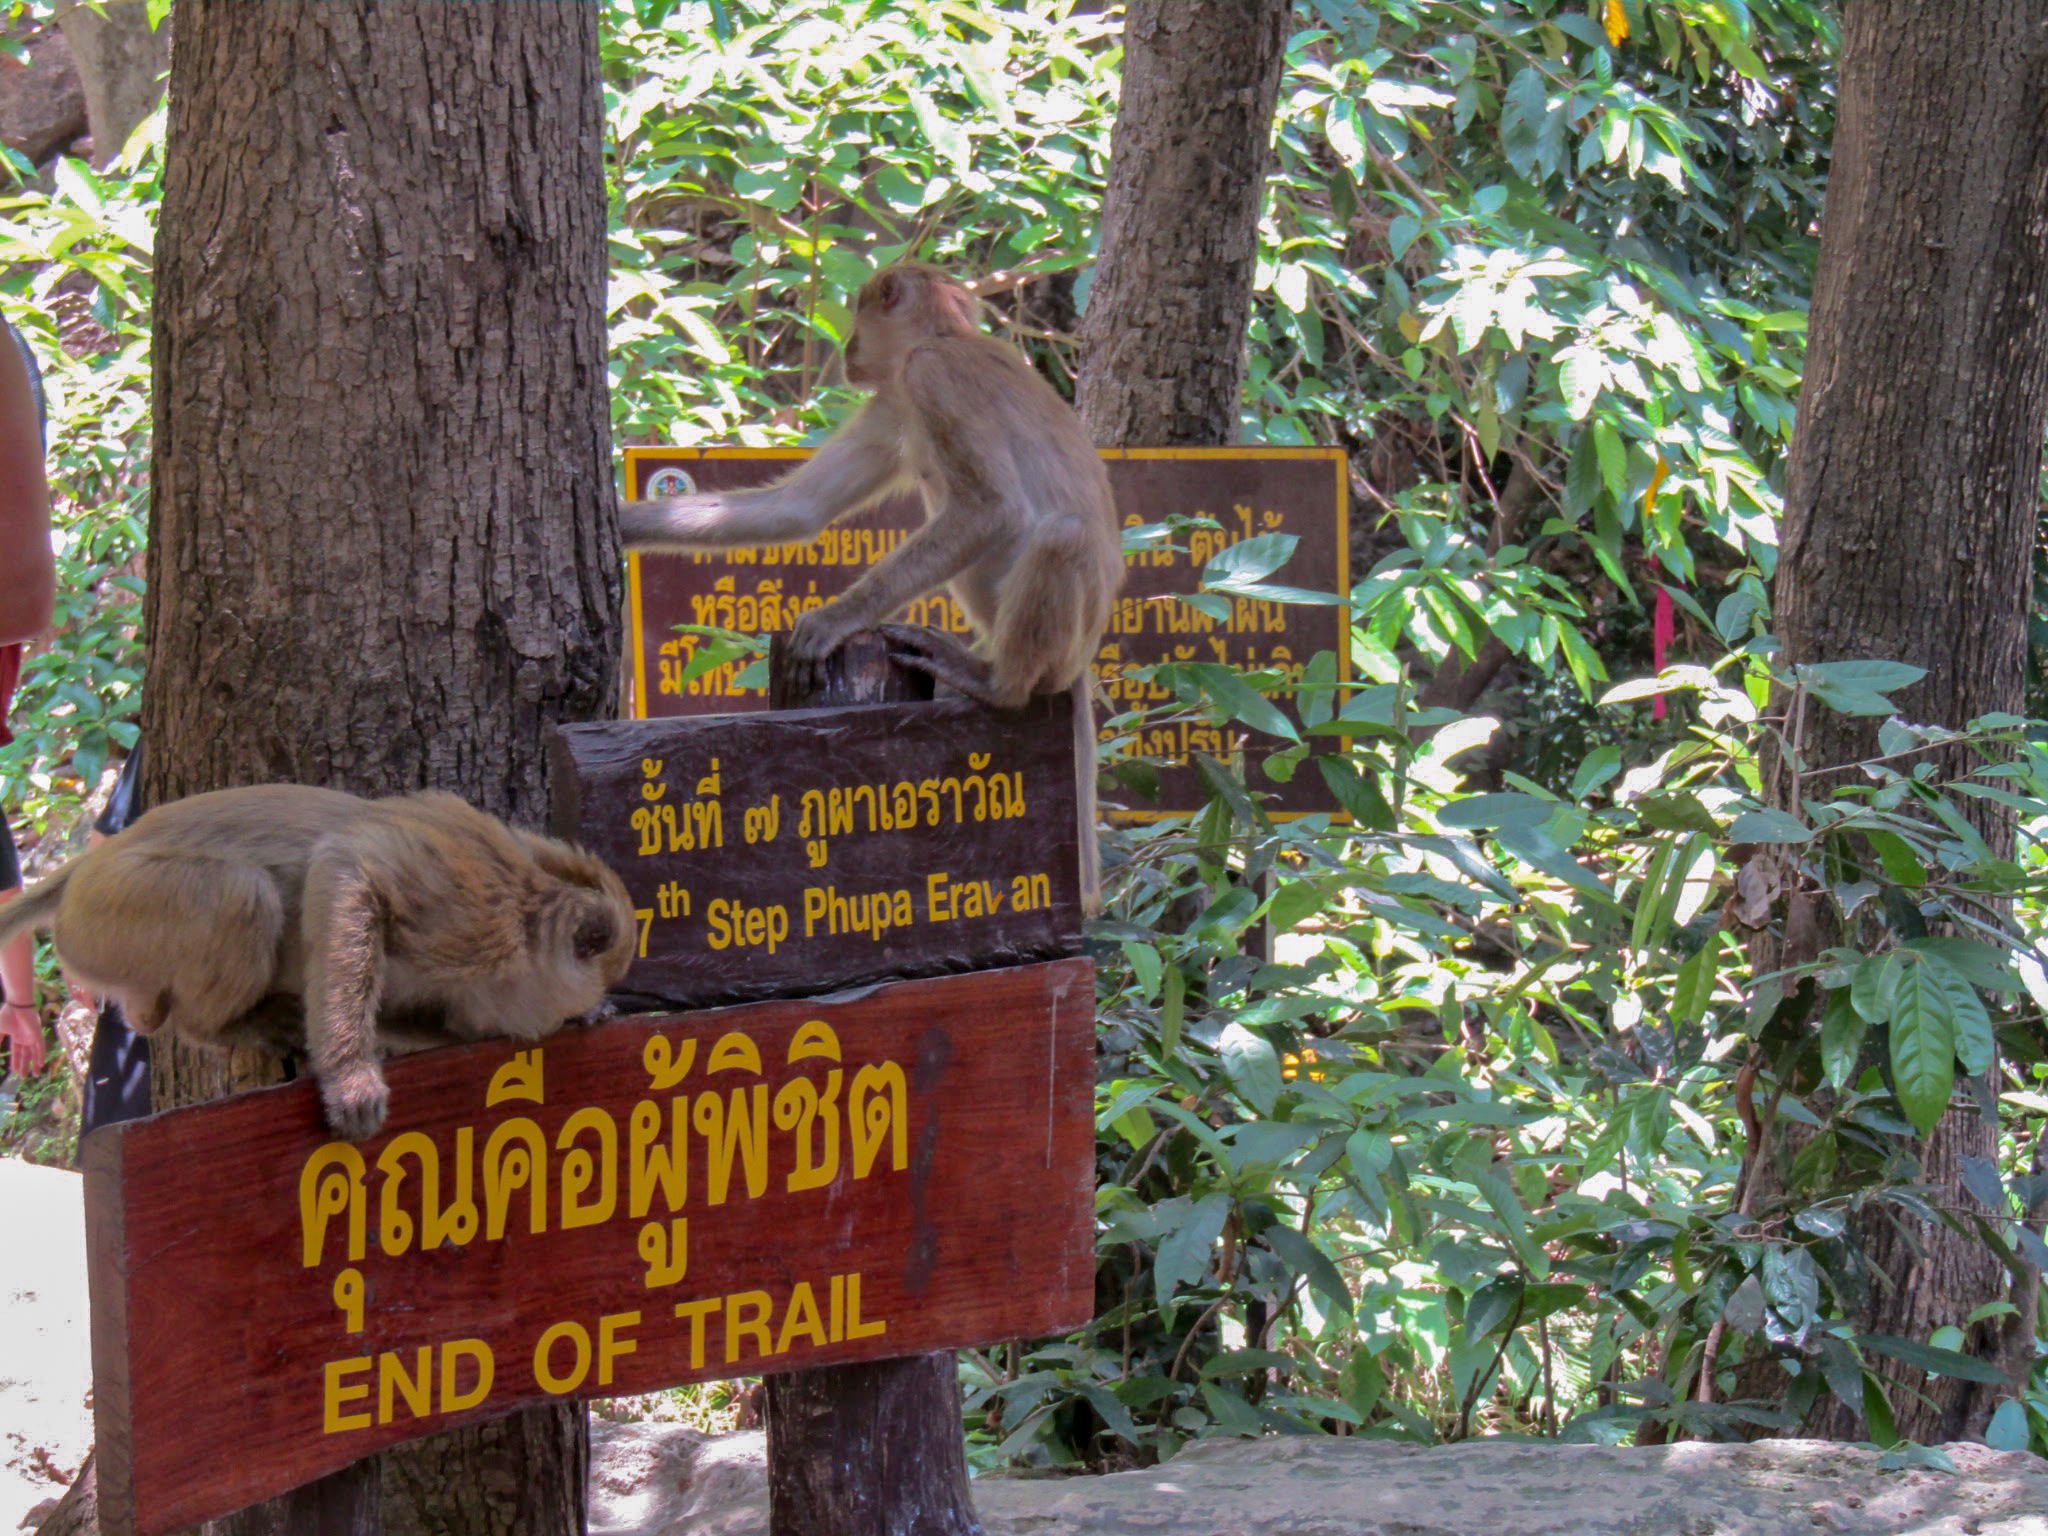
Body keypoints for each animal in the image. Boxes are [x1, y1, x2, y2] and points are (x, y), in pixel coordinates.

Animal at [622, 260, 1122, 909]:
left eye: (859, 317)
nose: (848, 351)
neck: (942, 335)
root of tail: (1083, 657)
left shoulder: (931, 378)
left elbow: (994, 510)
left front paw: (835, 619)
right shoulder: (893, 403)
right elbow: (797, 510)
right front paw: (621, 523)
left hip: (1068, 637)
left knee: (1061, 536)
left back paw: (997, 681)